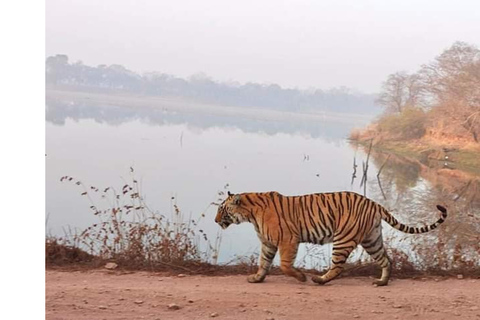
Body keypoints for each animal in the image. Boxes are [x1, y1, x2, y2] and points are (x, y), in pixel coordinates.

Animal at [216, 190, 448, 284]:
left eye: (222, 209)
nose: (215, 220)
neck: (250, 214)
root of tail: (373, 203)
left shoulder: (287, 240)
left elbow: (284, 265)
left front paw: (301, 277)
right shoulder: (268, 243)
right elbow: (263, 263)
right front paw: (257, 278)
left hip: (343, 239)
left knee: (338, 267)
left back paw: (319, 280)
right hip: (372, 239)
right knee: (386, 259)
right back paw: (382, 282)